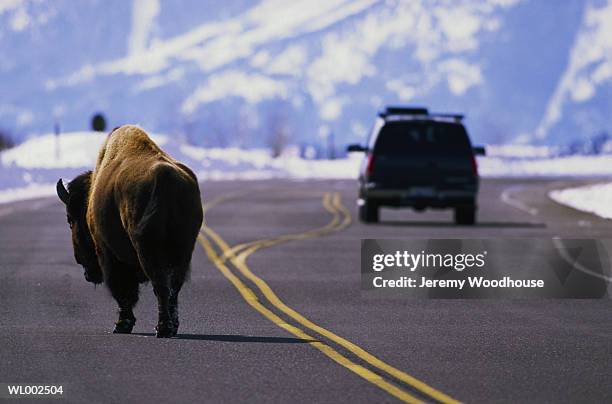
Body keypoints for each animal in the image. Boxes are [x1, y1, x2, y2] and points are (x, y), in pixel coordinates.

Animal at [56, 125, 203, 338]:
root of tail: (165, 176)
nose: (81, 263)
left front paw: (121, 325)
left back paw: (162, 329)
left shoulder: (108, 253)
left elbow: (123, 291)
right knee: (173, 287)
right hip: (183, 251)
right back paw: (170, 327)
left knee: (160, 286)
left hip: (146, 249)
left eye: (70, 220)